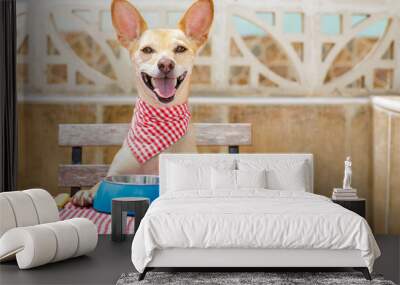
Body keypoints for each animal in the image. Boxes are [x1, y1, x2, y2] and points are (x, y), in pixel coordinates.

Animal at [72, 0, 216, 205]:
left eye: (180, 49)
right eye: (147, 49)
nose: (166, 64)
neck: (160, 117)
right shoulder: (117, 171)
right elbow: (100, 182)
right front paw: (87, 192)